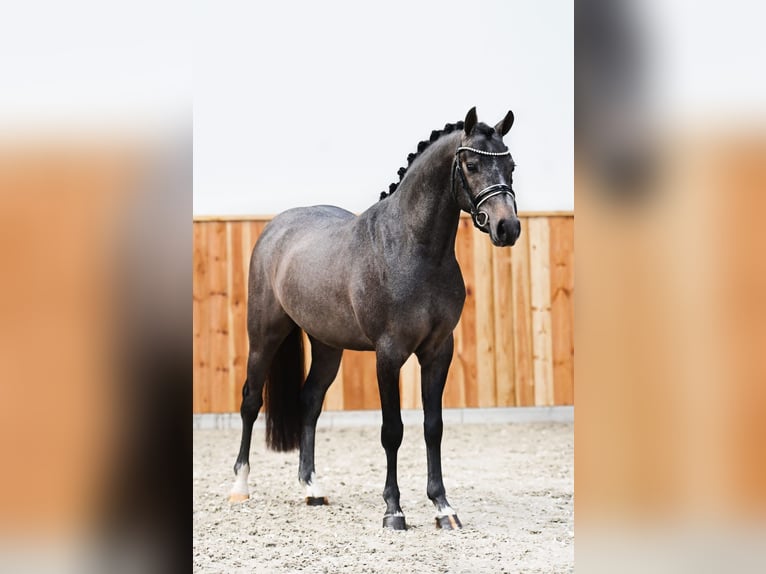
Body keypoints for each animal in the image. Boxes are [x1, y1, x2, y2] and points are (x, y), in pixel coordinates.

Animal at [228, 107, 520, 530]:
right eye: (471, 164)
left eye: (511, 166)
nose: (507, 227)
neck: (414, 250)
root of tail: (276, 228)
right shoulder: (389, 355)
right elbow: (392, 431)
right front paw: (393, 510)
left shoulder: (438, 352)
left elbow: (433, 427)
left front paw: (443, 507)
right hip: (264, 335)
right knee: (251, 401)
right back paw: (240, 486)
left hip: (327, 347)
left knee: (309, 401)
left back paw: (312, 488)